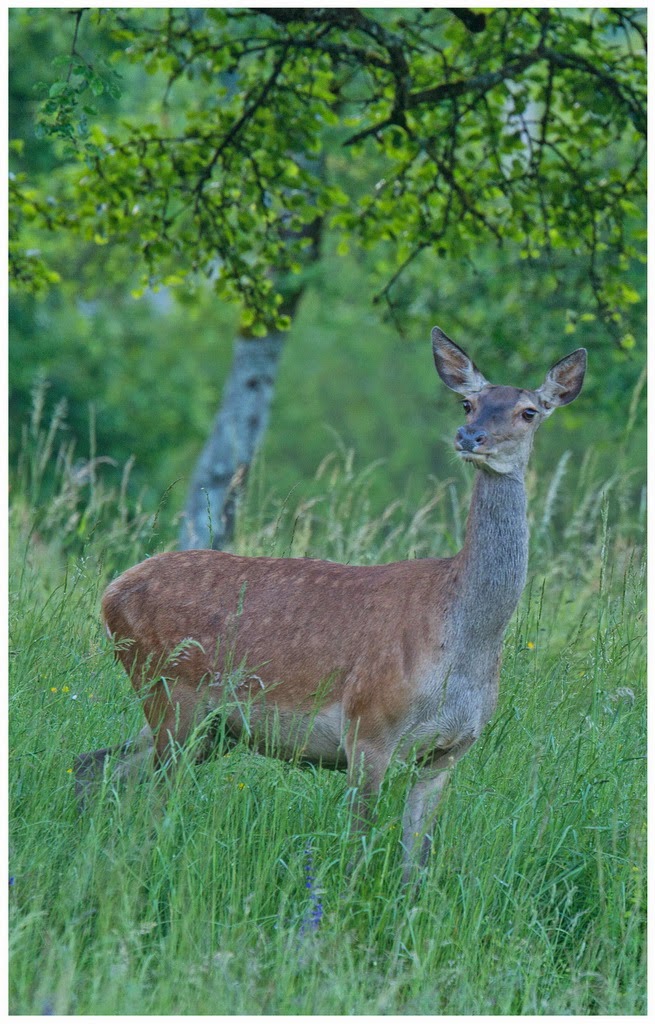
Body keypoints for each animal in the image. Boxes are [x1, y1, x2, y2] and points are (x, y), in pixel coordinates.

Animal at [74, 327, 585, 880]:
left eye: (528, 411)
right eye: (468, 402)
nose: (470, 437)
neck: (463, 641)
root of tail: (112, 591)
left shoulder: (448, 753)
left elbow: (416, 866)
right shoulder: (369, 728)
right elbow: (357, 850)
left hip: (208, 727)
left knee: (97, 765)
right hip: (171, 694)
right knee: (146, 795)